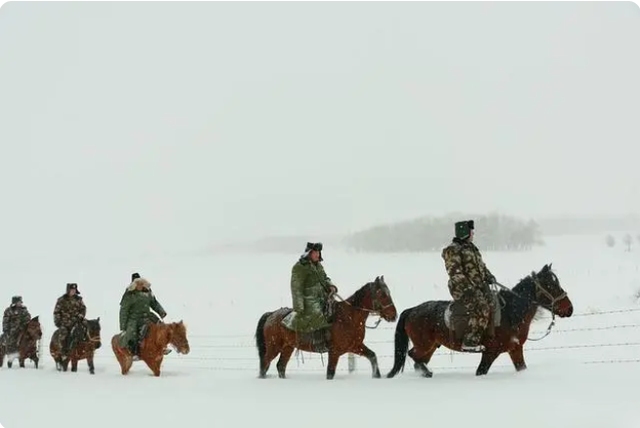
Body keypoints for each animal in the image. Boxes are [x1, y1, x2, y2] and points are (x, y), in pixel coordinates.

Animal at [254, 276, 396, 380]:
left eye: (389, 293)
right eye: (382, 294)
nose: (394, 315)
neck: (348, 317)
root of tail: (271, 314)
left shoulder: (355, 346)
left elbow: (372, 356)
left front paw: (376, 376)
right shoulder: (334, 352)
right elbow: (330, 372)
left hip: (288, 347)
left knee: (280, 366)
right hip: (274, 347)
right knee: (265, 364)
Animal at [384, 264, 576, 378]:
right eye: (551, 285)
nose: (569, 309)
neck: (509, 314)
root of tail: (412, 310)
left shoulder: (515, 350)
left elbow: (521, 367)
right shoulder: (490, 353)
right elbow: (481, 371)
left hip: (430, 347)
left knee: (418, 359)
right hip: (424, 345)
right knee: (413, 356)